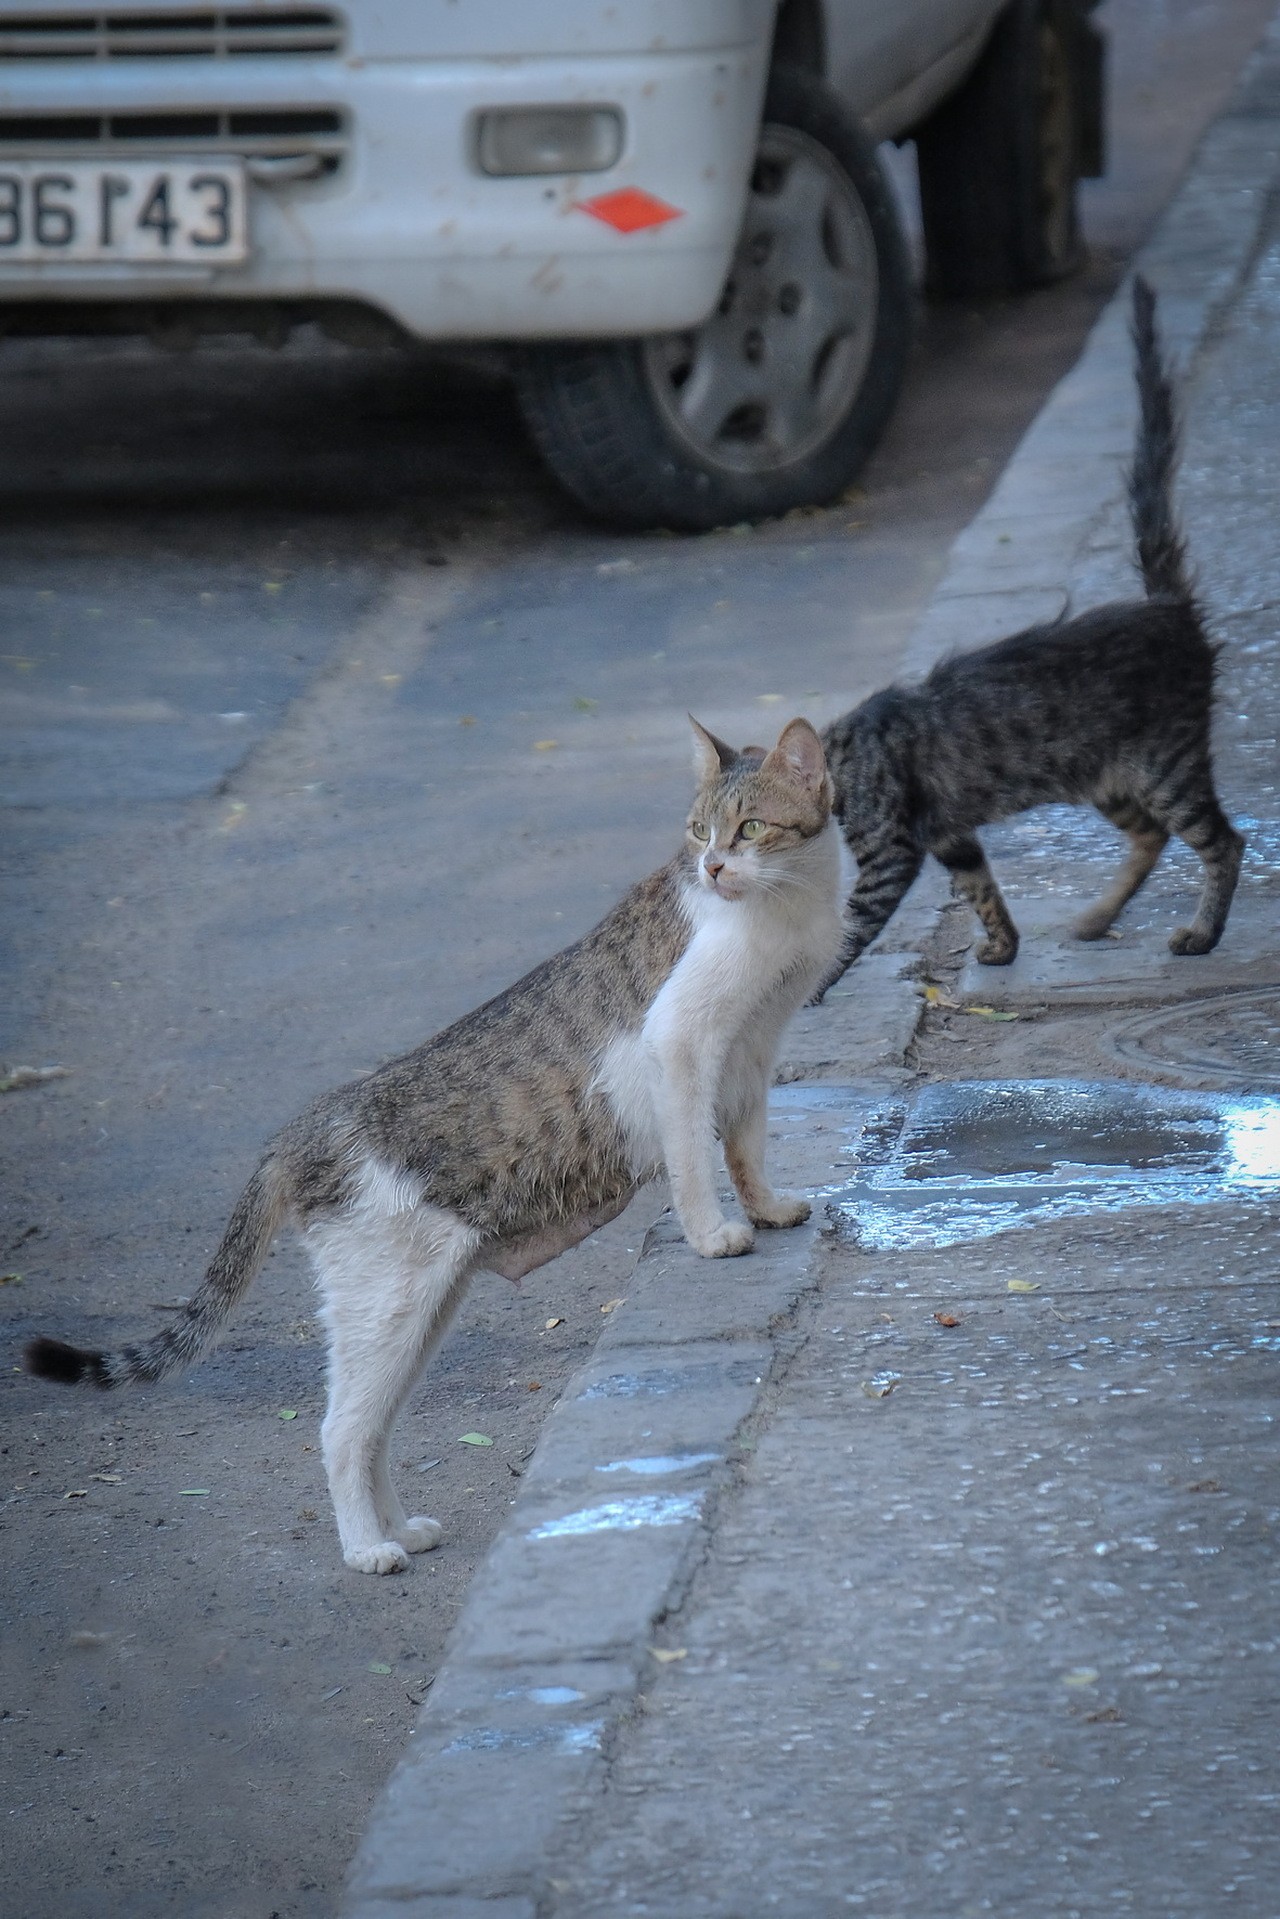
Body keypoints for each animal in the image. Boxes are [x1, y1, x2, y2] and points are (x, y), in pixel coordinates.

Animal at [25, 721, 844, 1573]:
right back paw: (367, 1550)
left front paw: (768, 1207)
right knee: (341, 1430)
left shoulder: (752, 1051)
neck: (792, 900)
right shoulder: (682, 1040)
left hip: (420, 1308)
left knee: (376, 1427)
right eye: (698, 832)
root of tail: (301, 1126)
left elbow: (747, 1144)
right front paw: (713, 1233)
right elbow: (693, 1158)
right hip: (386, 1304)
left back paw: (400, 1529)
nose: (713, 868)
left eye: (749, 828)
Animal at [817, 280, 1243, 1005]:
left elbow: (848, 929)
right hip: (1112, 779)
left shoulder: (892, 853)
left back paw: (1201, 933)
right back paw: (1097, 920)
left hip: (1167, 765)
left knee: (1224, 843)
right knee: (1153, 838)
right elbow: (982, 890)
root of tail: (1165, 606)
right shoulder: (951, 835)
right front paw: (1002, 945)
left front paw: (811, 985)